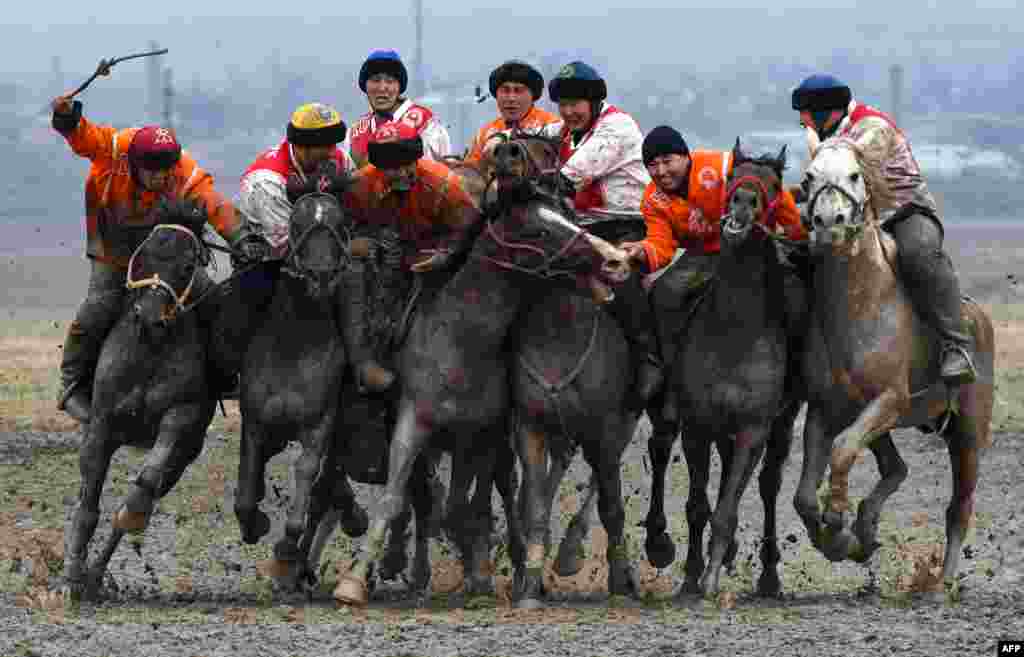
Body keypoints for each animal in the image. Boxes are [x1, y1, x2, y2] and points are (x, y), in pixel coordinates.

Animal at [790, 138, 991, 593]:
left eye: (854, 175)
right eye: (809, 176)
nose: (828, 222)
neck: (858, 304)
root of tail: (977, 318)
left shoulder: (889, 400)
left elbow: (843, 449)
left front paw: (838, 520)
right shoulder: (826, 408)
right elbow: (804, 496)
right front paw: (840, 539)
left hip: (968, 434)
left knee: (959, 507)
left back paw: (940, 583)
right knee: (897, 468)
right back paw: (866, 529)